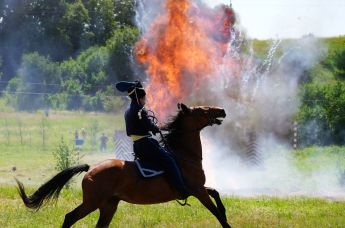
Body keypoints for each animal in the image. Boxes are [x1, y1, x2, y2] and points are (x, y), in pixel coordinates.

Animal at [16, 104, 231, 228]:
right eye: (202, 110)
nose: (221, 110)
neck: (184, 155)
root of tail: (90, 169)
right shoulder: (197, 190)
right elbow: (217, 213)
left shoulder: (198, 189)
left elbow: (216, 194)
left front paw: (225, 210)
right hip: (92, 203)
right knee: (70, 217)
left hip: (108, 205)